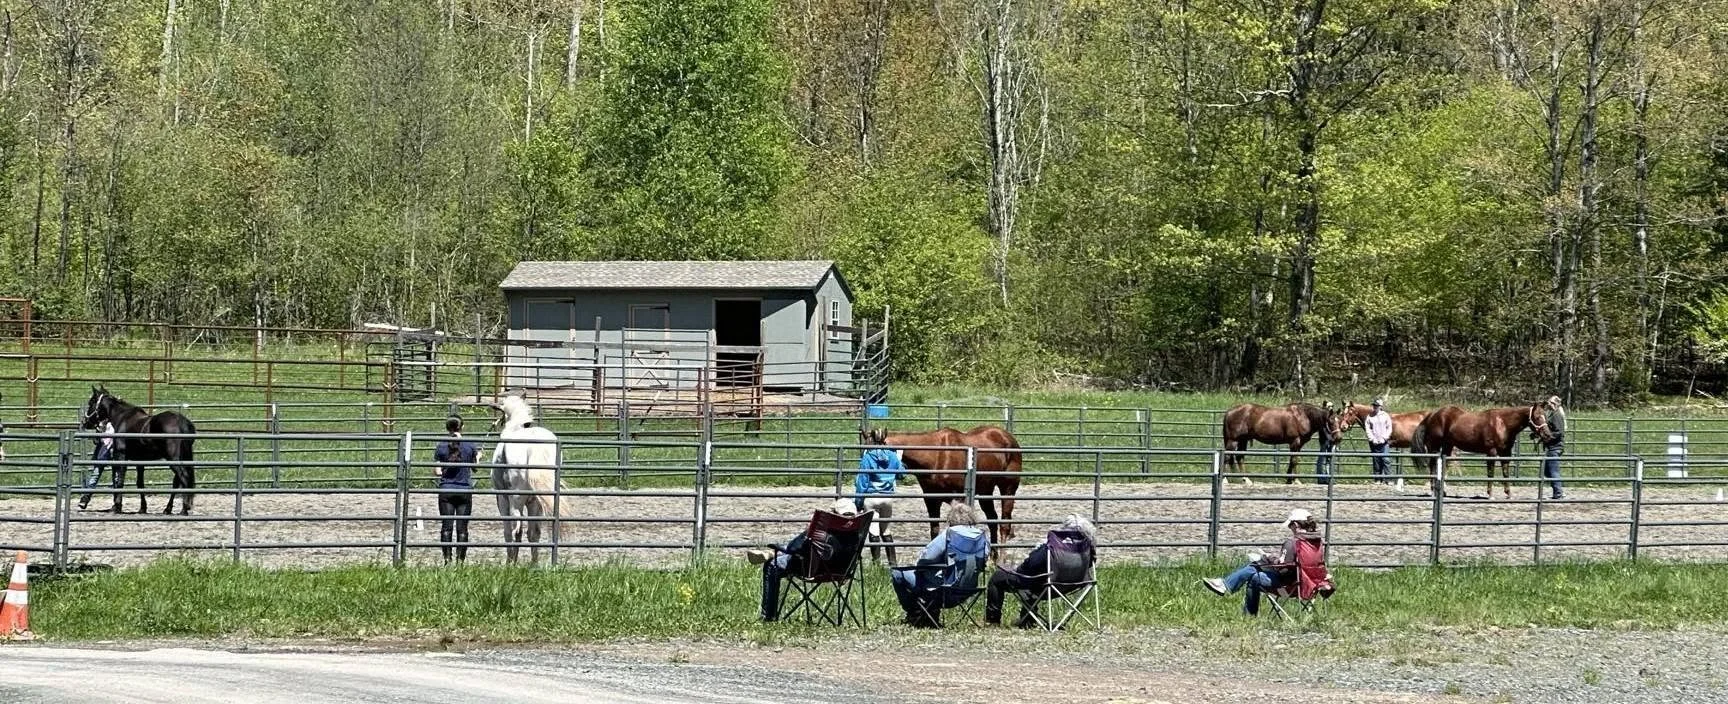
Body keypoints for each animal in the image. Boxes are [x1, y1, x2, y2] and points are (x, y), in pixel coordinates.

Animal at [80, 386, 197, 515]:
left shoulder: (121, 457)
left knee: (184, 477)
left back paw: (184, 509)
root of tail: (183, 422)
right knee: (176, 481)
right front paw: (142, 508)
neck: (121, 418)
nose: (85, 422)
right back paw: (168, 509)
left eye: (91, 402)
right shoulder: (139, 461)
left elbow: (120, 481)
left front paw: (117, 506)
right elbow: (140, 483)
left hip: (174, 459)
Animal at [489, 395, 570, 564]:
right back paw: (534, 564)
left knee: (516, 530)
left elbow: (508, 531)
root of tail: (534, 446)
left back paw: (512, 562)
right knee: (534, 532)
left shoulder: (502, 499)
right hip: (539, 501)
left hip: (516, 499)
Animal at [881, 426, 1022, 553]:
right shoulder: (931, 499)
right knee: (992, 520)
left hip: (1008, 489)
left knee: (1004, 525)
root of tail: (1007, 437)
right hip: (985, 491)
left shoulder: (957, 498)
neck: (937, 456)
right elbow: (934, 530)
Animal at [1410, 404, 1551, 499]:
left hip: (1447, 447)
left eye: (1546, 416)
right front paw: (1490, 494)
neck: (1502, 424)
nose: (1548, 435)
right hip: (1434, 447)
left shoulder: (1505, 453)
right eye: (1537, 417)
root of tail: (1431, 415)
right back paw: (1433, 491)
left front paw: (1508, 493)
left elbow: (1505, 473)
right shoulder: (1491, 452)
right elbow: (1490, 473)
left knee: (1443, 465)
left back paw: (1443, 492)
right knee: (1433, 466)